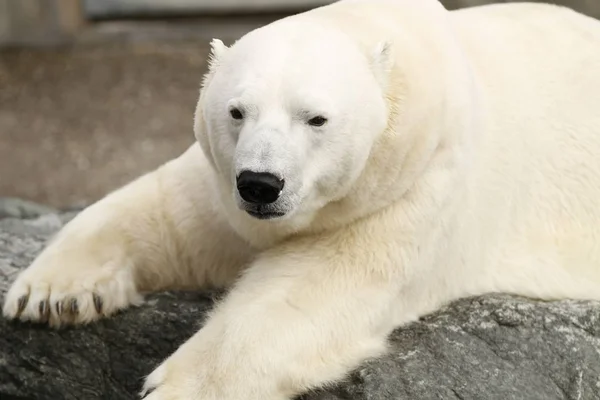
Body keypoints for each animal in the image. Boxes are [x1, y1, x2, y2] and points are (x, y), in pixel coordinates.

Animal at [1, 0, 600, 398]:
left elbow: (308, 292)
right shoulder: (223, 182)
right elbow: (168, 215)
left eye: (315, 118)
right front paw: (51, 296)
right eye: (237, 111)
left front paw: (176, 388)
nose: (261, 184)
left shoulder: (414, 185)